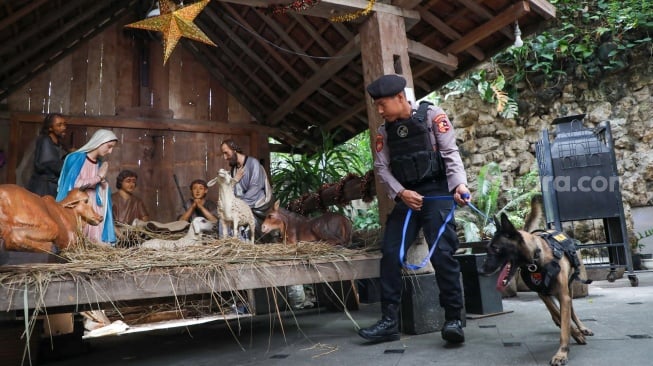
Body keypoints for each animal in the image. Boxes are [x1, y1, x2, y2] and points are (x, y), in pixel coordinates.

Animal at [478, 199, 592, 364]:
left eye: (496, 248)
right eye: (487, 248)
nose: (480, 270)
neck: (536, 260)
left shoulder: (563, 295)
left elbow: (565, 319)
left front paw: (562, 353)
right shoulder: (543, 294)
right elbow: (558, 314)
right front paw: (574, 334)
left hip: (568, 288)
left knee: (571, 311)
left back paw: (582, 327)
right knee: (558, 314)